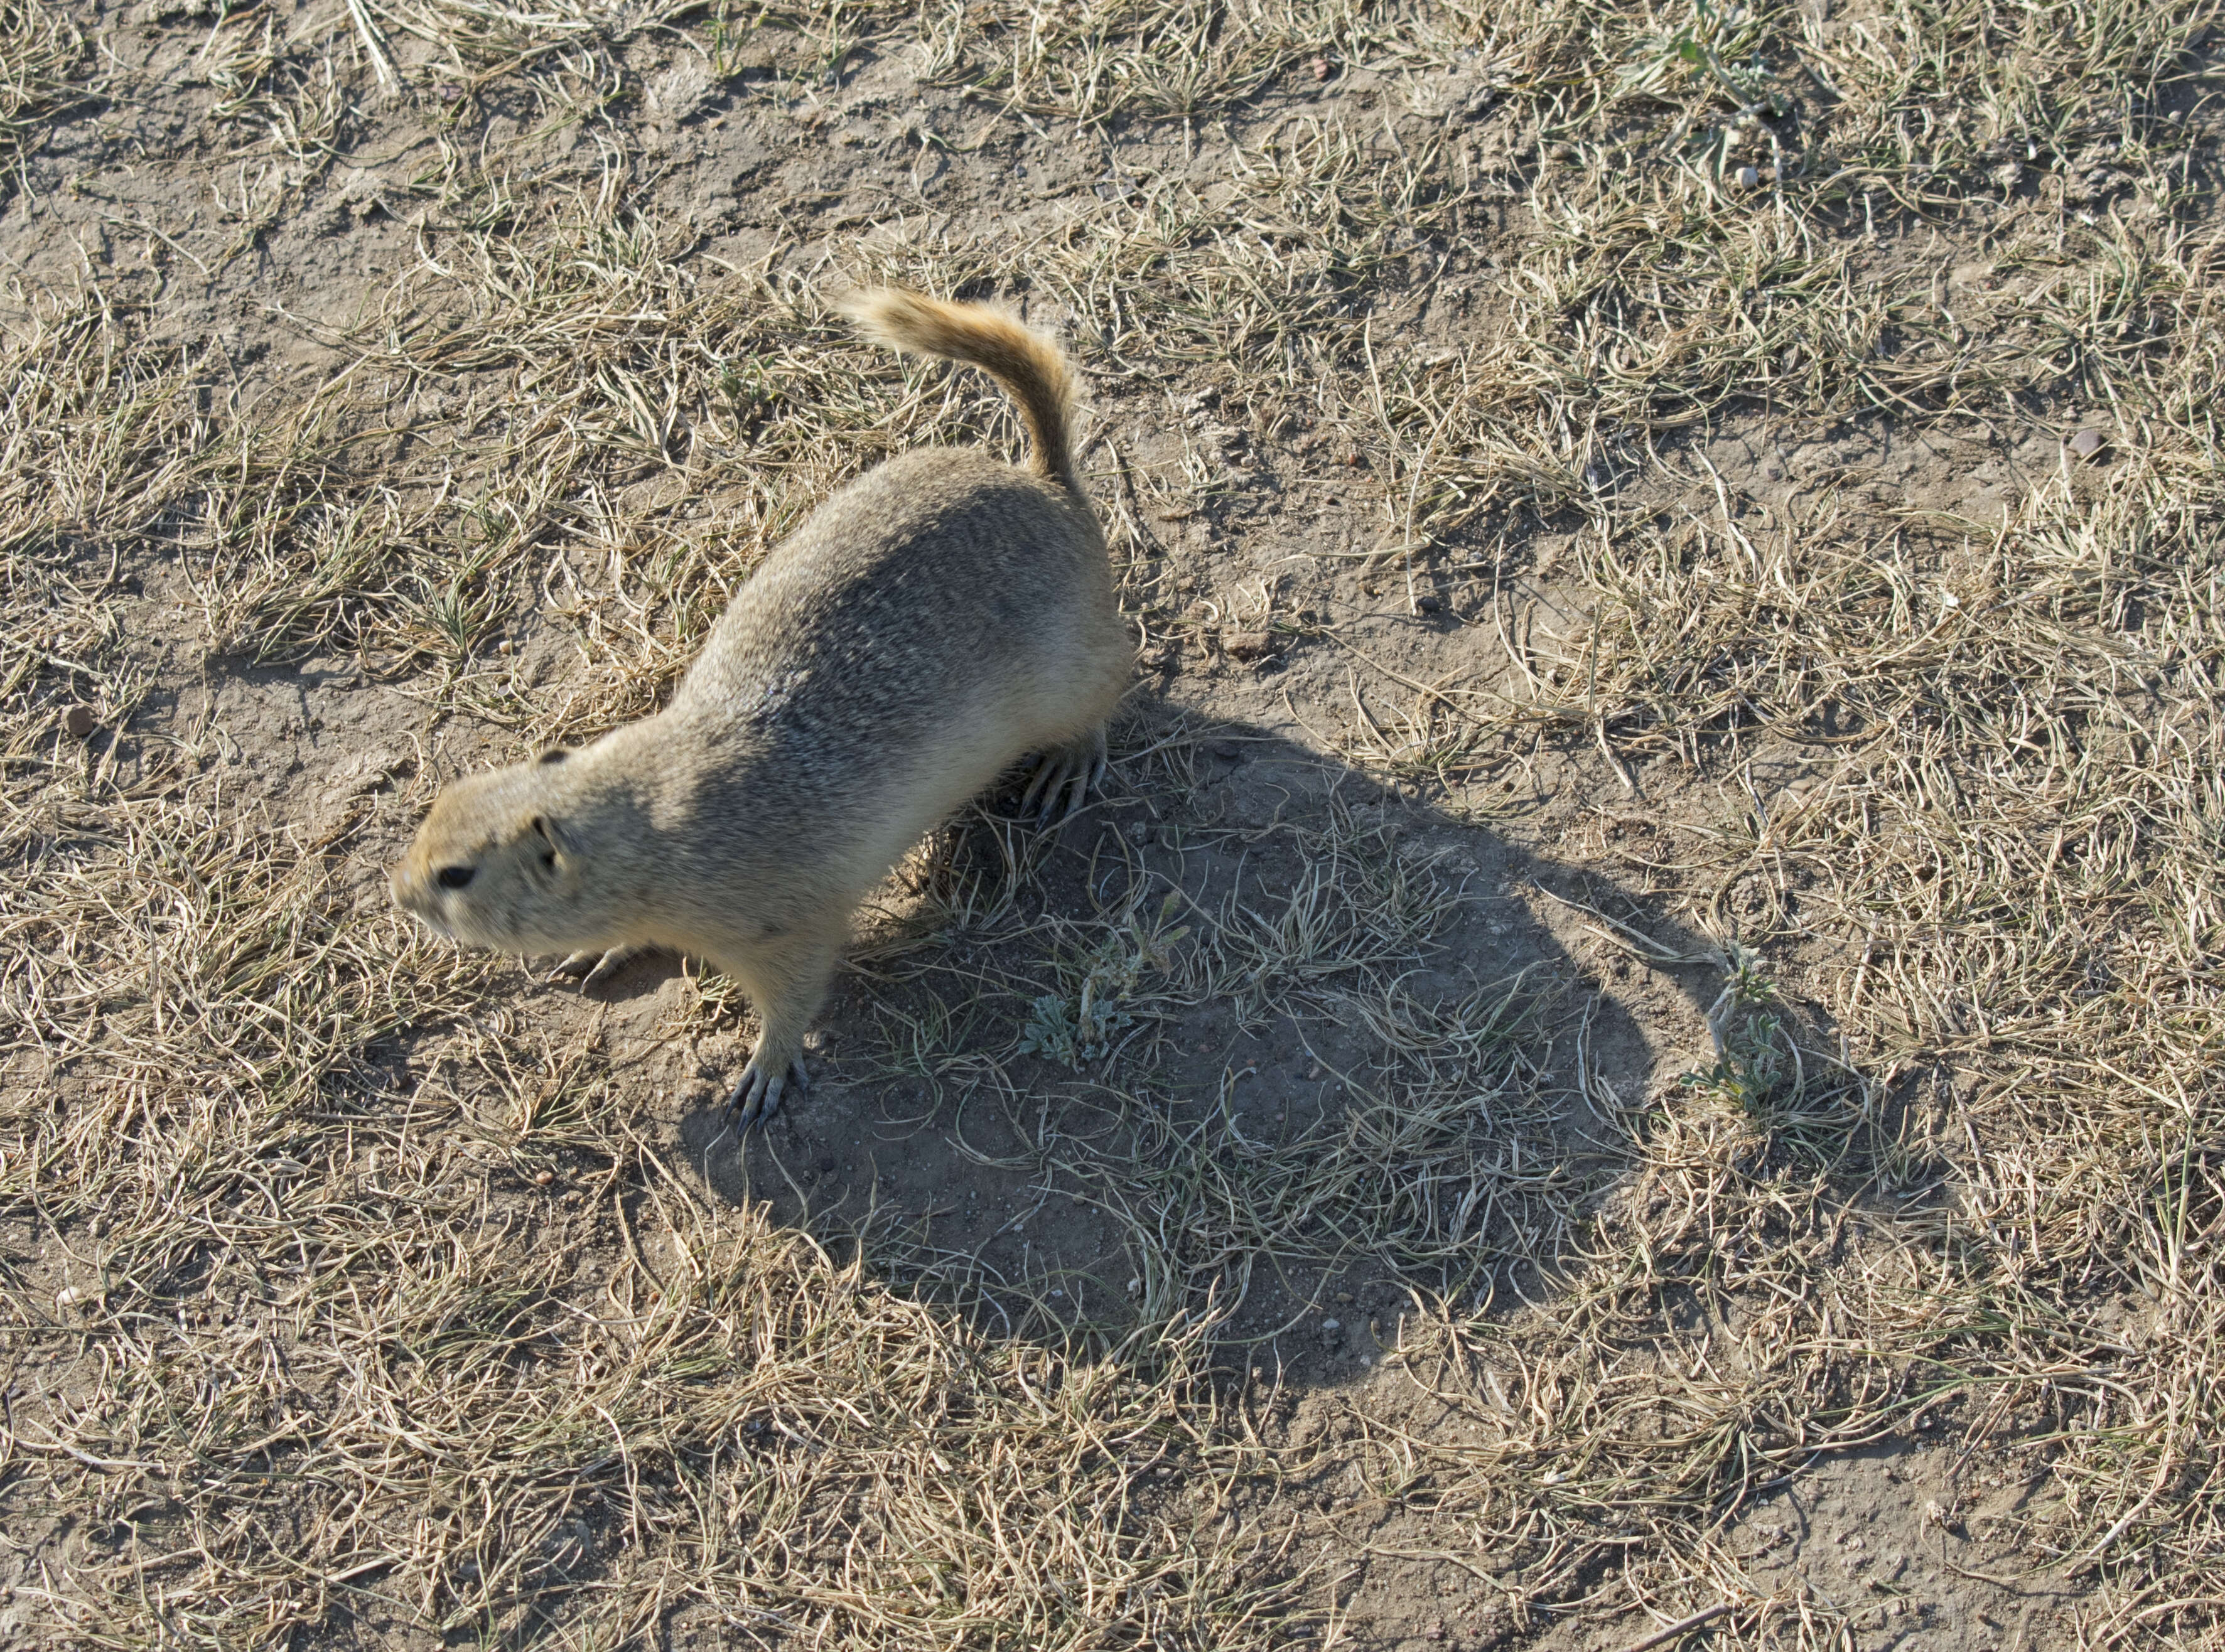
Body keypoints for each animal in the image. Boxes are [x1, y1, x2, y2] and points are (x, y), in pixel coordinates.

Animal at [391, 291, 1130, 1129]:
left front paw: (766, 1071)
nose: (398, 893)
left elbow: (795, 993)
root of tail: (1047, 481)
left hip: (1070, 673)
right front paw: (606, 949)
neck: (646, 821)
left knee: (1114, 680)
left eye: (455, 875)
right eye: (440, 804)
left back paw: (1068, 764)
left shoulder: (786, 924)